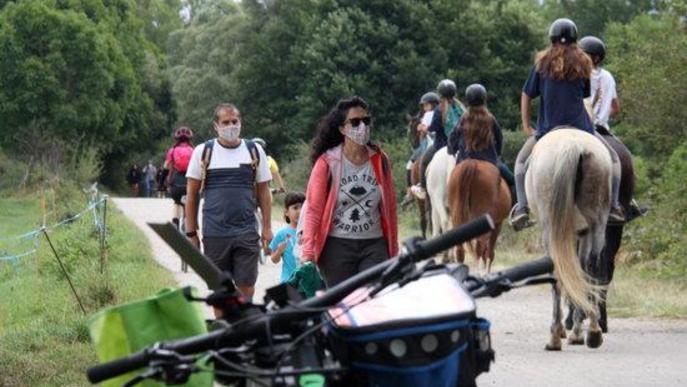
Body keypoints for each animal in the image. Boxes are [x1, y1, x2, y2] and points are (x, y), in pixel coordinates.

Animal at [528, 130, 612, 352]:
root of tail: (573, 146)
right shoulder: (580, 233)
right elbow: (578, 271)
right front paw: (577, 326)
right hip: (597, 223)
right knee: (592, 267)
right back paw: (592, 331)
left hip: (552, 229)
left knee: (557, 272)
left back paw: (557, 336)